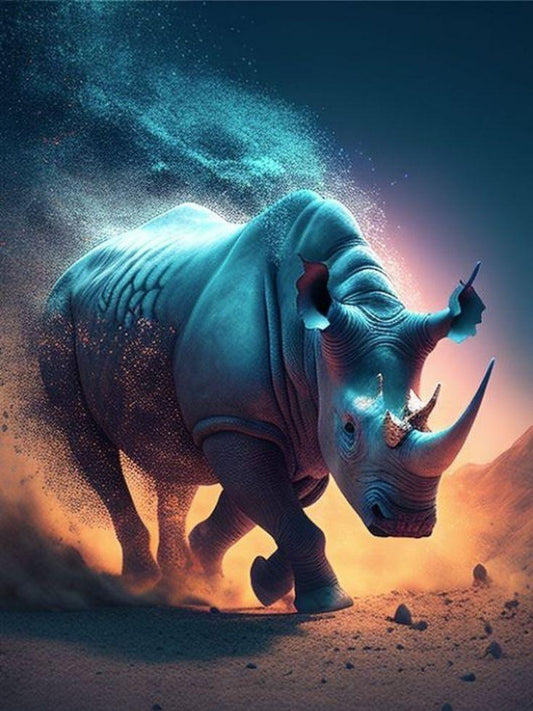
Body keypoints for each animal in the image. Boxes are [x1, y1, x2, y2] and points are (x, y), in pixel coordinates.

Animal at [39, 190, 493, 613]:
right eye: (348, 429)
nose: (407, 522)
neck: (313, 342)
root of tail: (79, 263)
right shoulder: (235, 421)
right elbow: (284, 513)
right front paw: (328, 602)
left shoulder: (302, 433)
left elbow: (262, 511)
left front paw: (233, 579)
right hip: (59, 311)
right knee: (86, 437)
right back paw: (141, 584)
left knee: (174, 458)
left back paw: (177, 581)